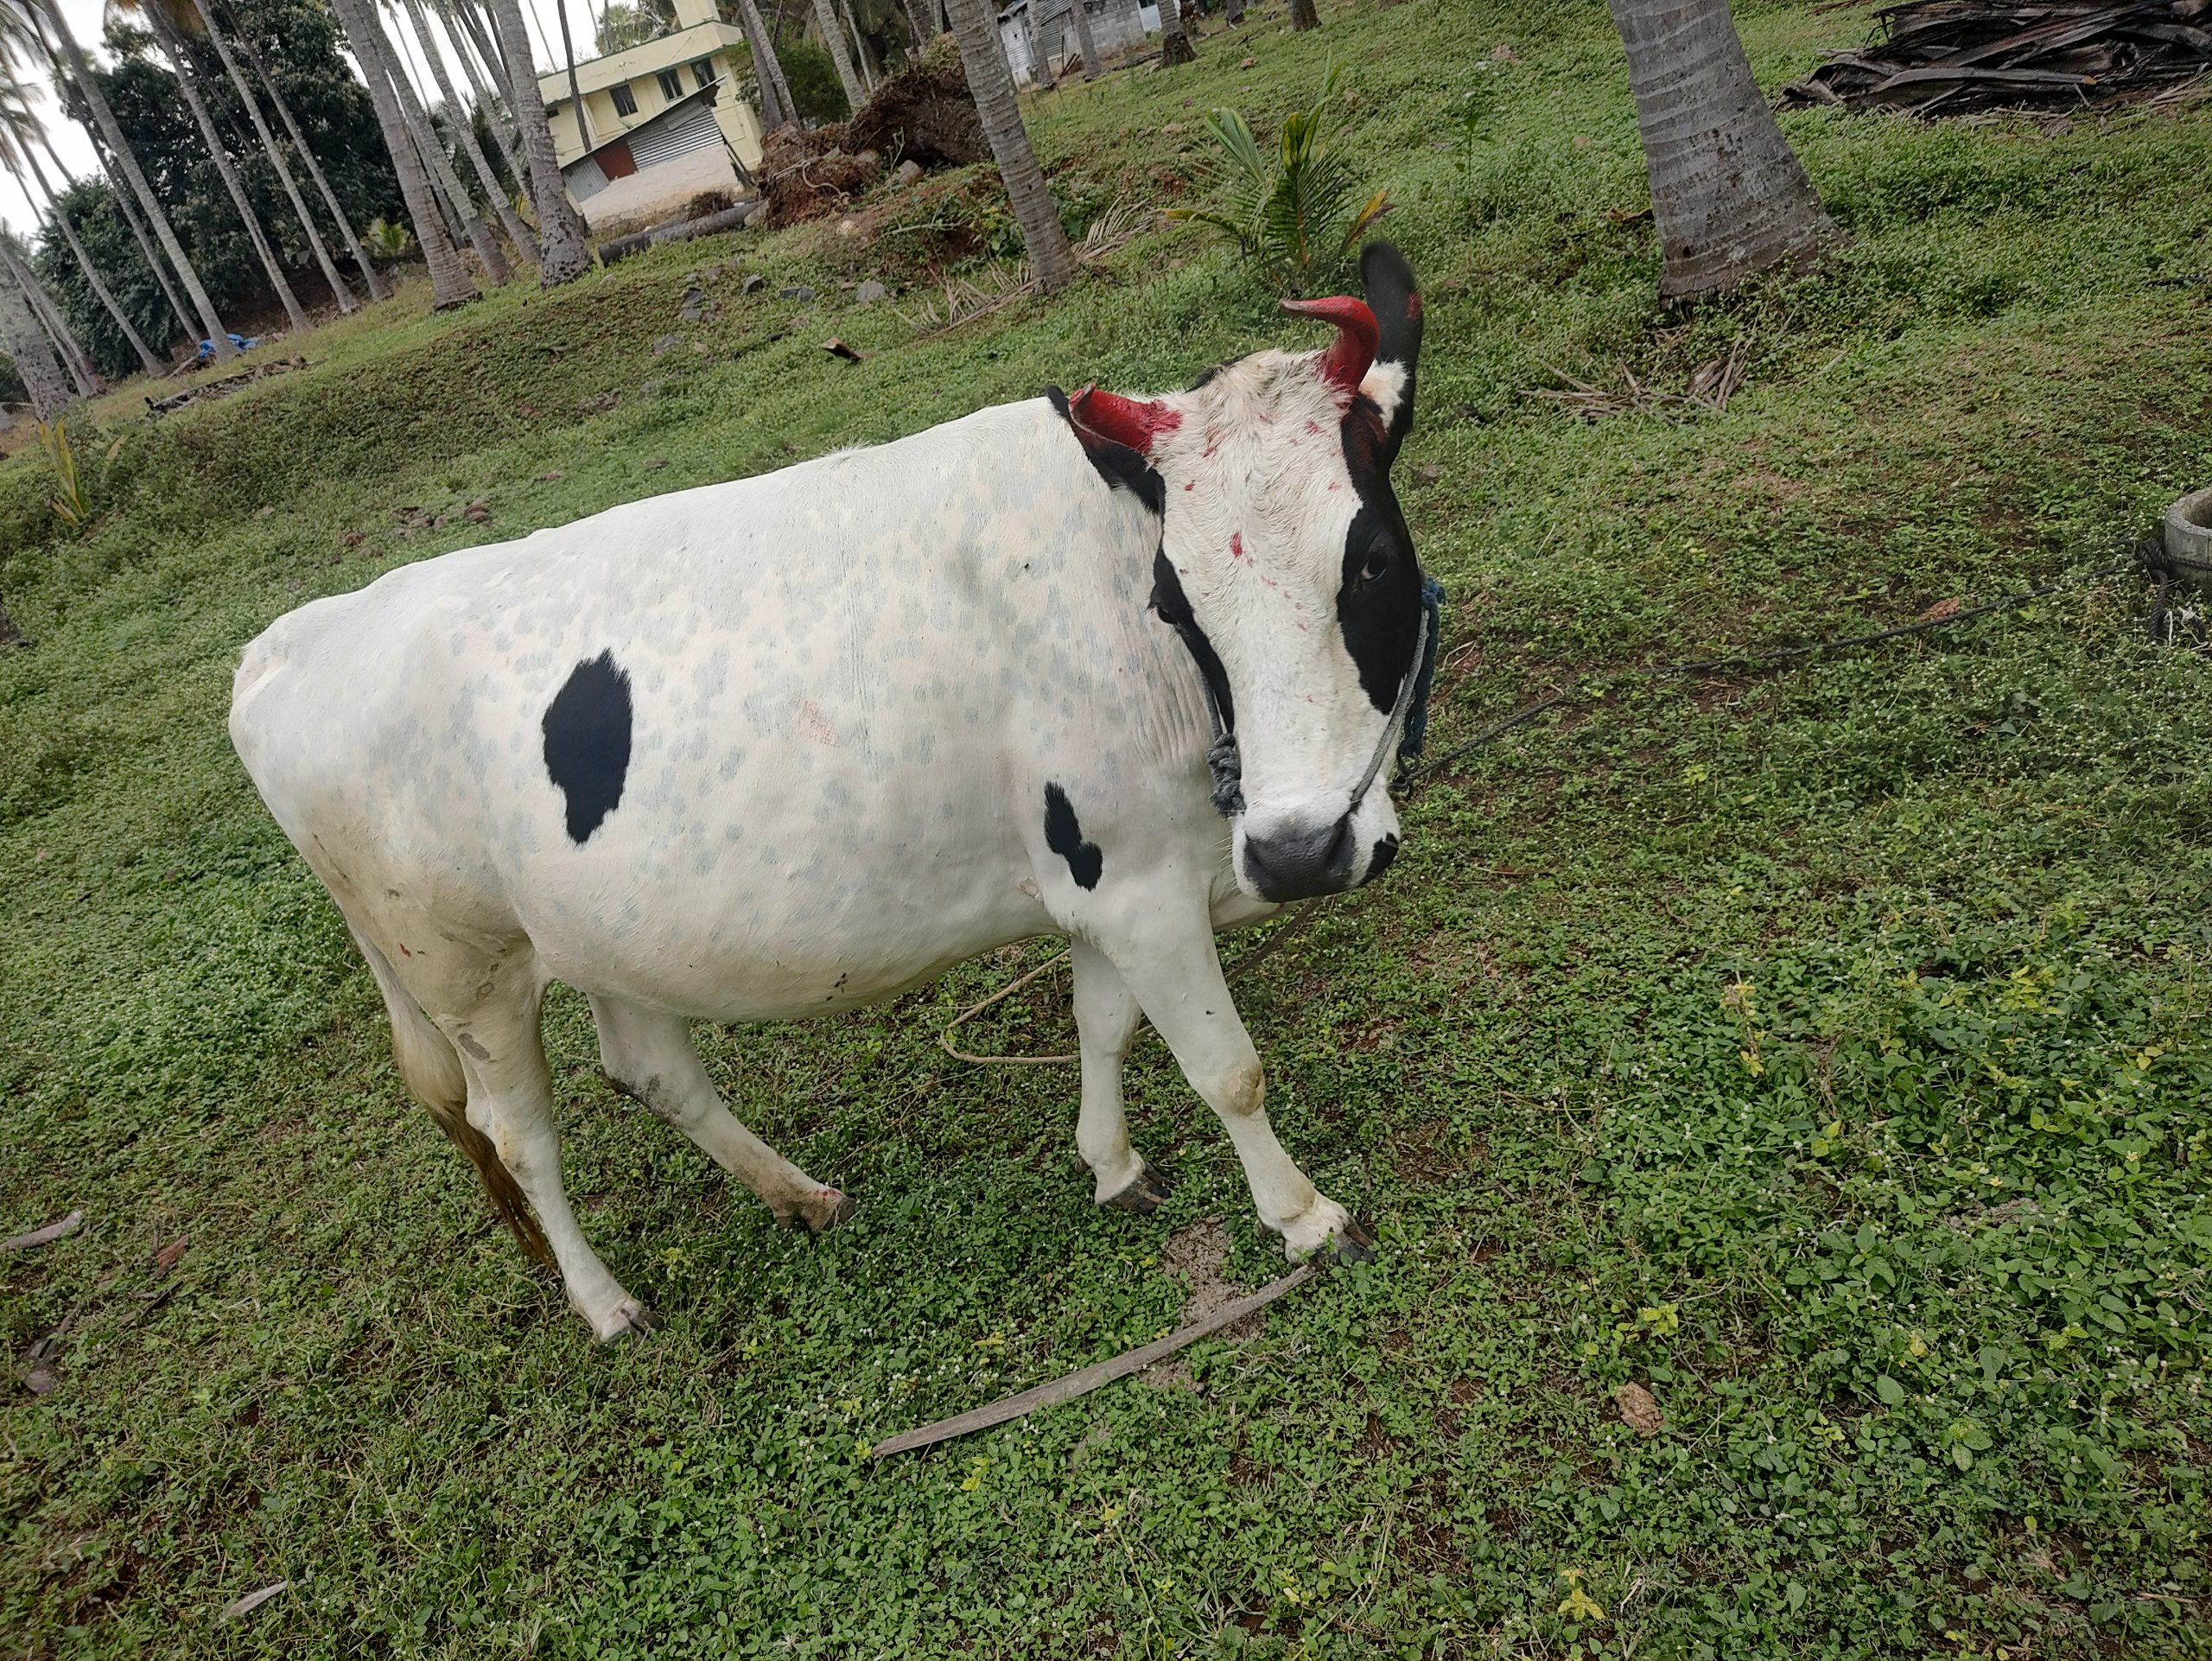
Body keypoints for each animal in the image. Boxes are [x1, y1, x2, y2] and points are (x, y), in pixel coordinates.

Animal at [230, 243, 1431, 1342]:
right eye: (1176, 599)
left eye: (1372, 558)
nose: (1297, 852)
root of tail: (288, 639)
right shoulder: (1137, 886)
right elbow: (1227, 1069)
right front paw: (1304, 1216)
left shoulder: (1110, 872)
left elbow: (1102, 1024)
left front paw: (1113, 1164)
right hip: (464, 969)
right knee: (519, 1132)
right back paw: (606, 1302)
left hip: (602, 929)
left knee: (650, 1068)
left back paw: (798, 1195)